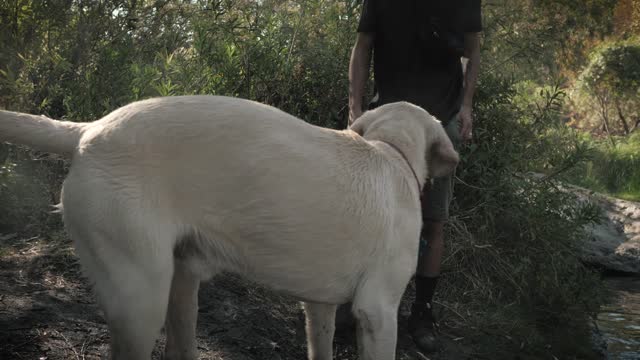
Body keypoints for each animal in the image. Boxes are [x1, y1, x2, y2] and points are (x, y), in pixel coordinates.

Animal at [1, 96, 460, 360]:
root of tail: (89, 129)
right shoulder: (378, 312)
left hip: (180, 287)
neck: (391, 151)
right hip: (141, 298)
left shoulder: (319, 306)